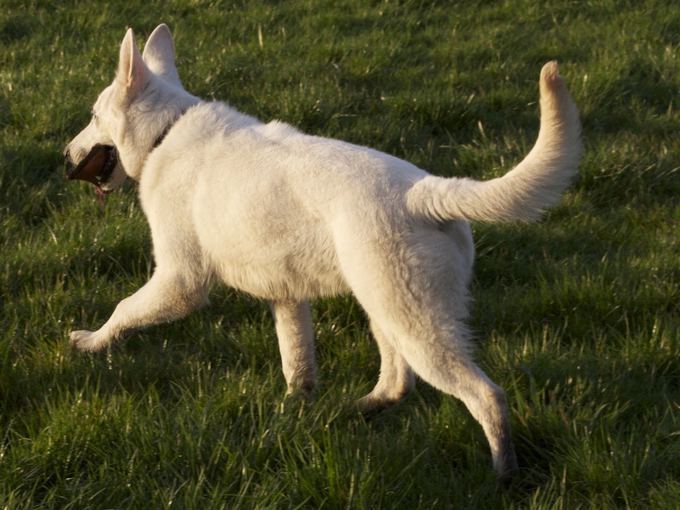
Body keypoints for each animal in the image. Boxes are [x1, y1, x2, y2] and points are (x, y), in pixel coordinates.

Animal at [63, 22, 580, 478]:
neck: (164, 132)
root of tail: (426, 191)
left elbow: (123, 309)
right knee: (397, 382)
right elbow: (297, 362)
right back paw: (355, 410)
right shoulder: (286, 296)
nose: (65, 157)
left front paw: (90, 342)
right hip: (385, 309)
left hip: (417, 326)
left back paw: (503, 473)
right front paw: (296, 408)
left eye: (92, 116)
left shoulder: (179, 281)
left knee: (486, 396)